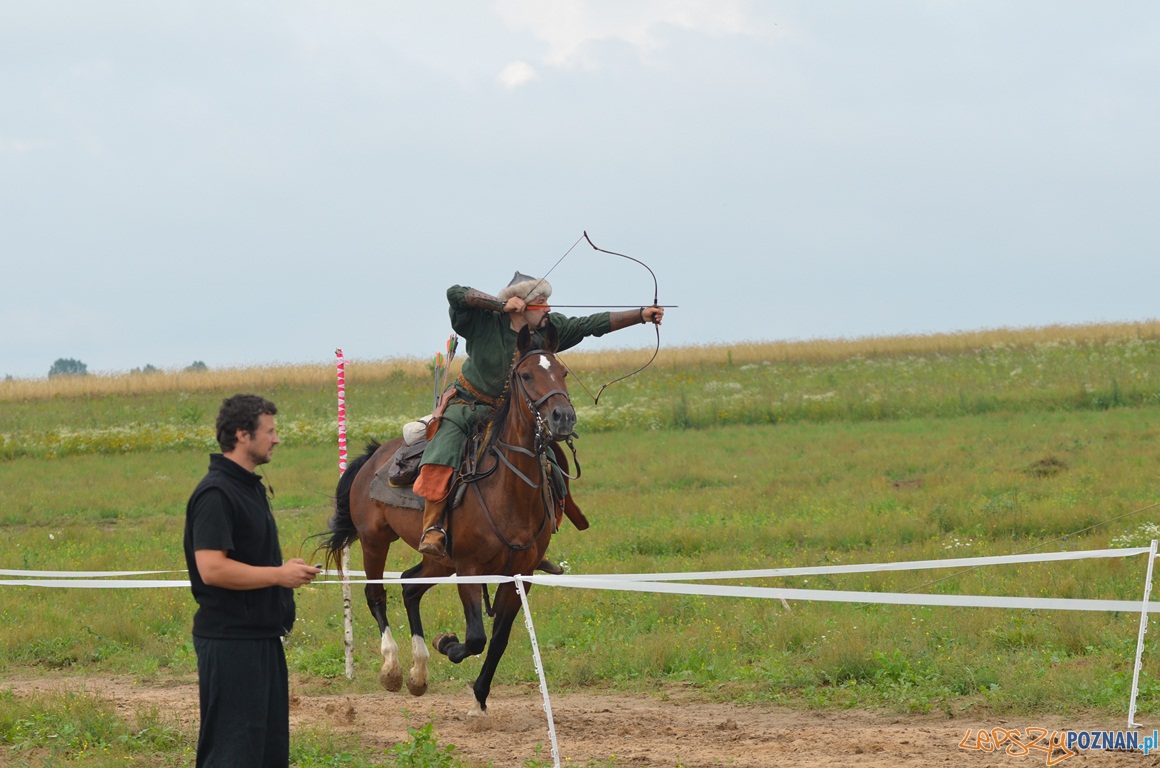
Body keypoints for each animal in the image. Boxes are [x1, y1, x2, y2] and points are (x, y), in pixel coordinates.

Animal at [322, 322, 575, 714]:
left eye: (562, 372)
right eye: (527, 375)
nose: (563, 417)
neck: (508, 489)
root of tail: (374, 455)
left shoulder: (521, 574)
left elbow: (498, 639)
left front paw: (479, 699)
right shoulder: (470, 569)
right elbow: (475, 637)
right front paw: (446, 643)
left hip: (439, 558)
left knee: (409, 585)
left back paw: (418, 673)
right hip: (375, 540)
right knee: (375, 593)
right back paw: (393, 668)